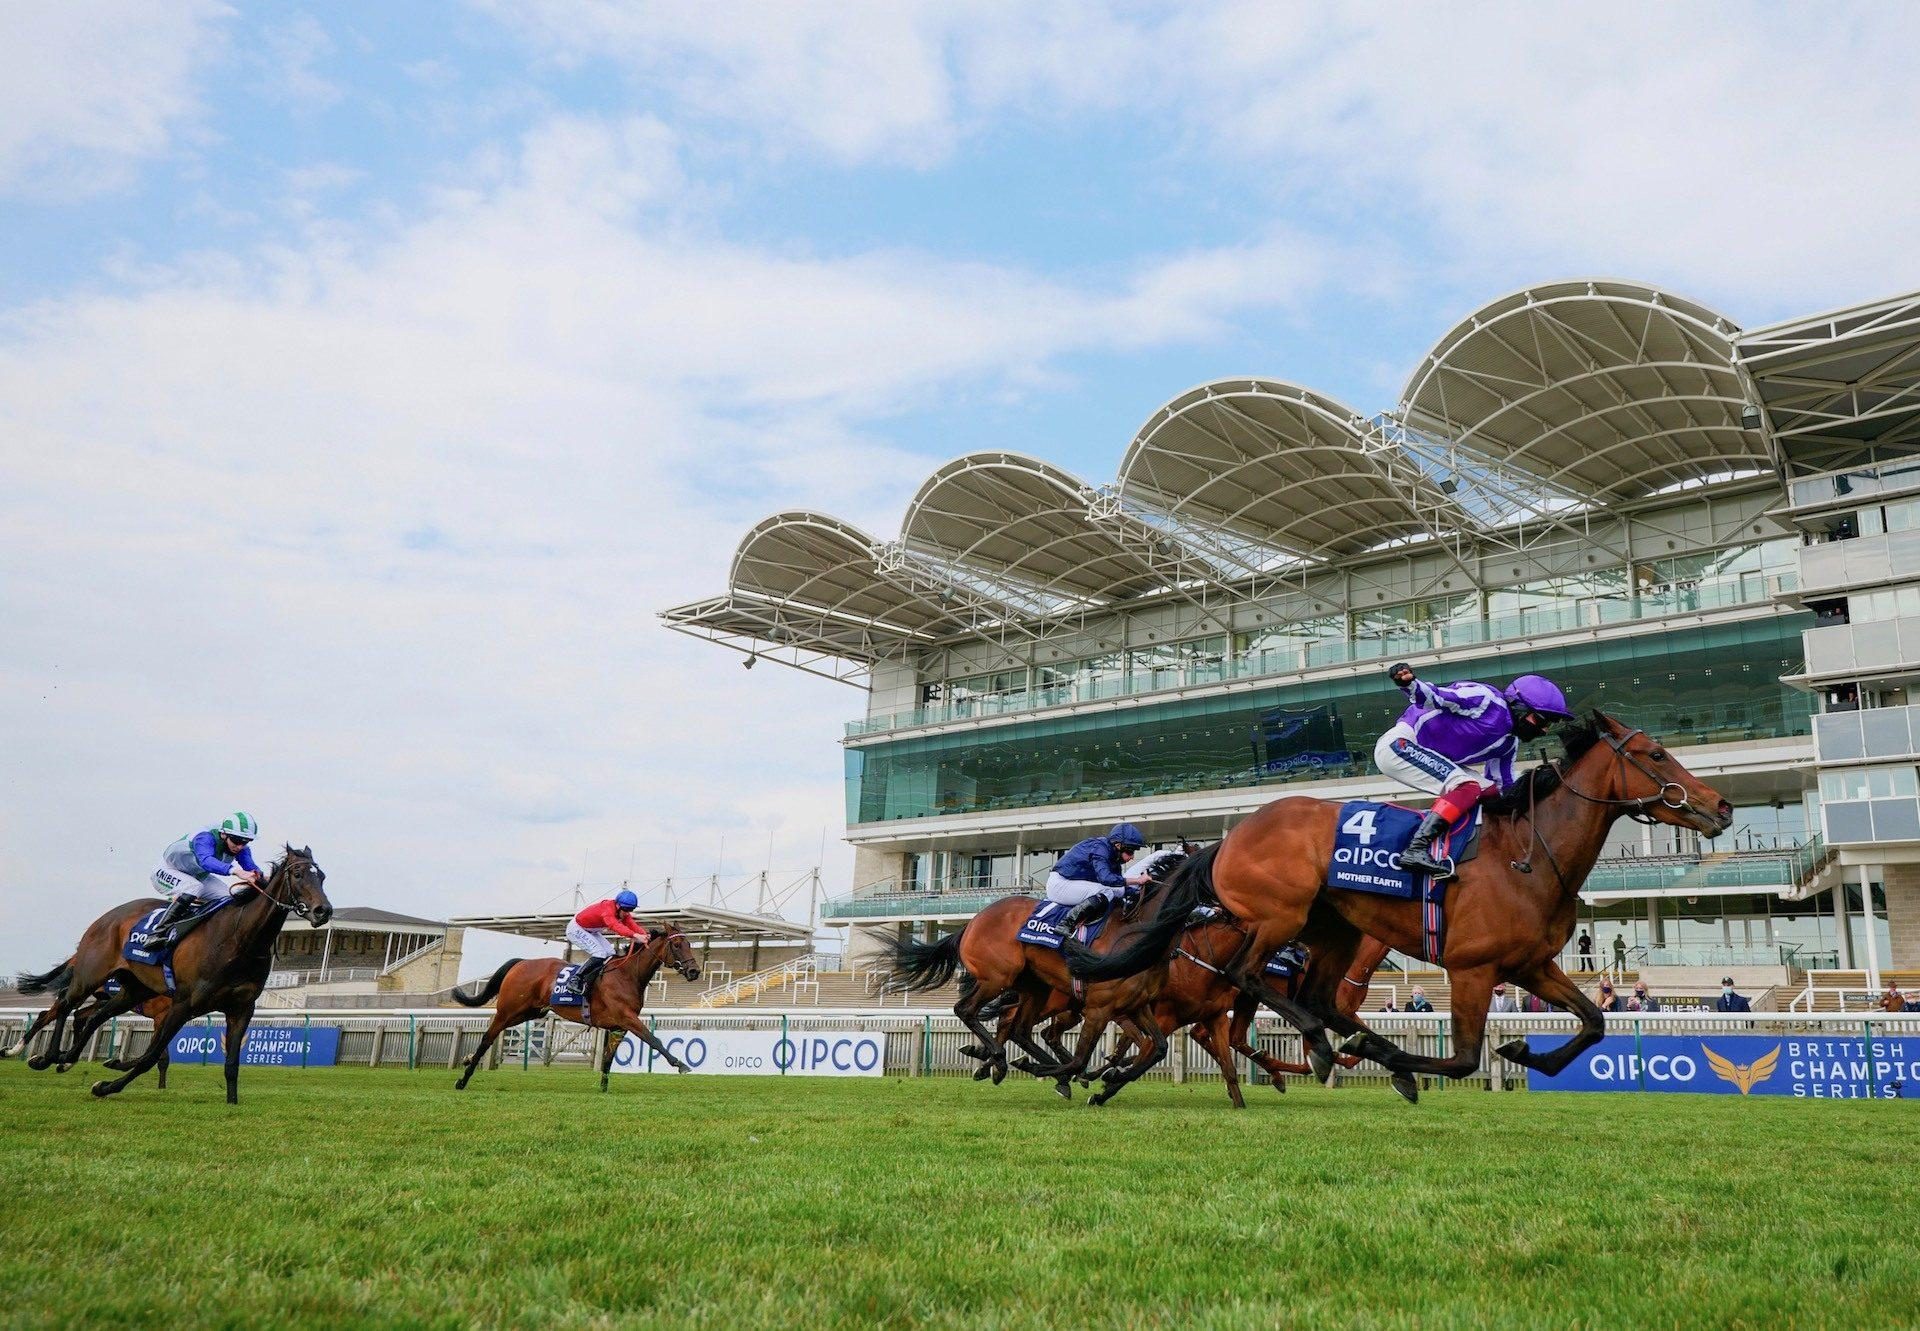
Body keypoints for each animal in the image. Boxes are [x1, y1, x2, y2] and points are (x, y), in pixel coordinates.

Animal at [15, 852, 330, 1098]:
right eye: (298, 874)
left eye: (323, 877)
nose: (323, 910)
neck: (239, 938)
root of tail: (106, 918)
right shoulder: (180, 1005)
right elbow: (151, 1056)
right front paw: (106, 1086)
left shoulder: (241, 1009)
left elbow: (231, 1065)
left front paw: (232, 1103)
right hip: (90, 976)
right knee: (63, 1006)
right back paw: (43, 1056)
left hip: (133, 989)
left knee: (91, 1016)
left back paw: (64, 1059)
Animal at [453, 925, 702, 1090]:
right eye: (677, 945)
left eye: (690, 944)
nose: (694, 971)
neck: (627, 974)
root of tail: (521, 962)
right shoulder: (627, 1017)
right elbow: (653, 1039)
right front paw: (680, 1064)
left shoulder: (618, 1026)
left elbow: (608, 1057)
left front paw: (603, 1087)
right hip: (508, 1010)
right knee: (487, 1037)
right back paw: (463, 1078)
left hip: (529, 1011)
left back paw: (466, 1064)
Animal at [1075, 718, 1735, 1098]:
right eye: (1655, 754)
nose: (1722, 806)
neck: (1528, 857)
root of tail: (1230, 837)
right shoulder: (1473, 968)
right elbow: (1465, 1059)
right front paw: (1414, 1061)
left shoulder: (1531, 965)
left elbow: (1595, 1021)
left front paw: (1525, 1052)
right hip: (1278, 917)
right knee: (1251, 978)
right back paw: (1326, 1047)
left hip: (1334, 930)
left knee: (1320, 998)